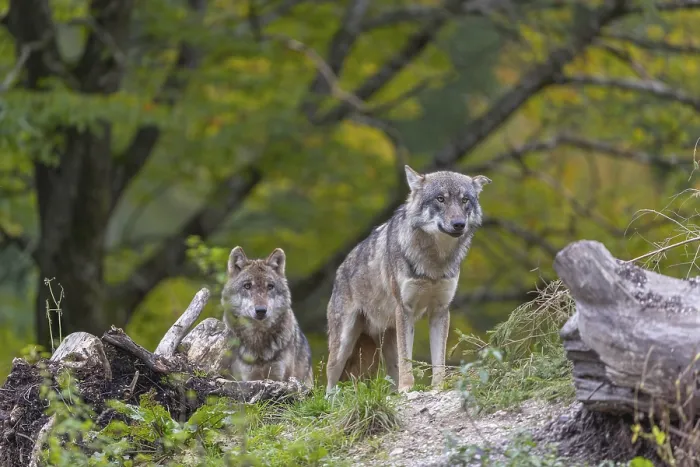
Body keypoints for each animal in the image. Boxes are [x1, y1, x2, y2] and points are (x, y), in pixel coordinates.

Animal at [325, 165, 491, 394]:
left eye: (465, 200)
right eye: (440, 199)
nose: (459, 224)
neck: (434, 263)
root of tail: (340, 270)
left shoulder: (440, 312)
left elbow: (438, 360)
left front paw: (438, 387)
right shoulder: (405, 309)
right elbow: (407, 360)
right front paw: (407, 388)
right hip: (344, 344)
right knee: (329, 382)